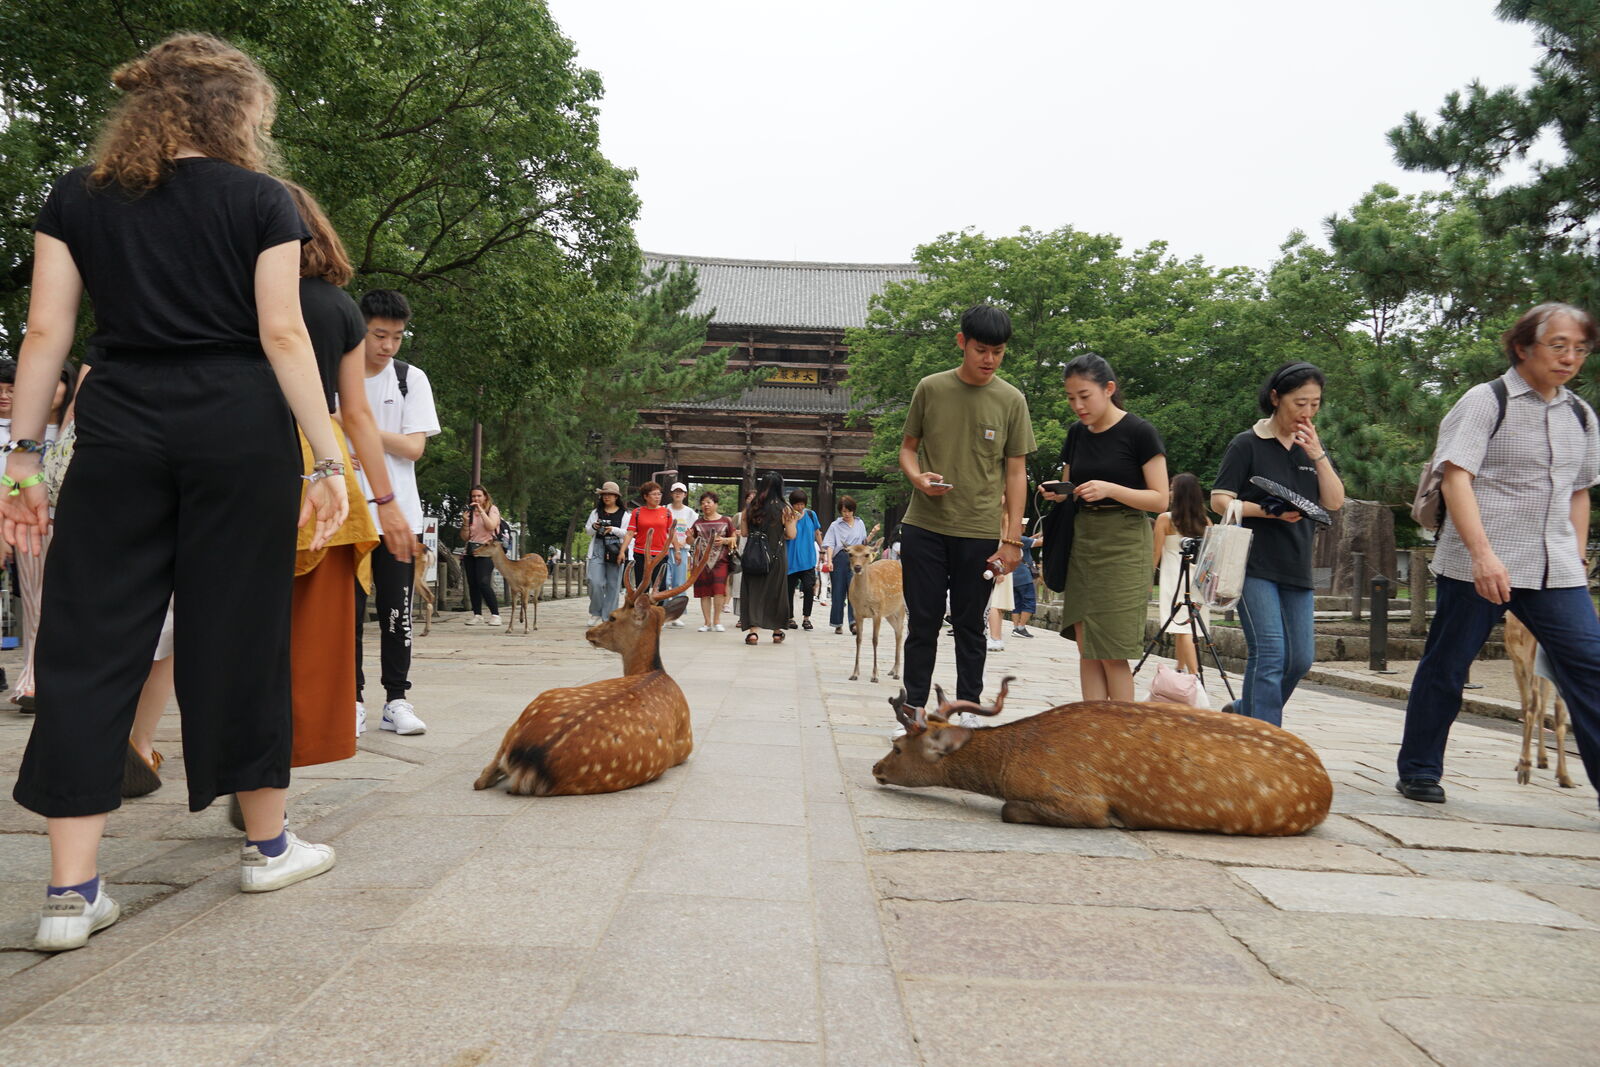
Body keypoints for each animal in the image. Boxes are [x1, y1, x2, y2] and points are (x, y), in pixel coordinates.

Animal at [473, 544, 709, 796]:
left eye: (613, 617)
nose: (590, 633)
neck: (655, 671)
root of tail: (530, 758)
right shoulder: (686, 743)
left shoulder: (687, 743)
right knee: (482, 779)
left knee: (483, 778)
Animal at [844, 541, 904, 684]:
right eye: (850, 553)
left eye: (867, 554)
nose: (857, 567)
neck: (863, 598)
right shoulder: (857, 612)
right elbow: (858, 639)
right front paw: (854, 674)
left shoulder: (877, 613)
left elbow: (875, 640)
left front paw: (875, 675)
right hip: (888, 613)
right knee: (897, 631)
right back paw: (892, 670)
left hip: (901, 607)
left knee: (900, 632)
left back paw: (897, 673)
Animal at [872, 677, 1332, 836]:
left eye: (897, 747)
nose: (876, 768)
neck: (1010, 764)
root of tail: (1325, 784)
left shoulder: (1079, 798)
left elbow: (1009, 810)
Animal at [1505, 614, 1575, 788]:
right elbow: (1547, 709)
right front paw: (1543, 759)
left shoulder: (1518, 663)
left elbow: (1529, 707)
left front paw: (1537, 760)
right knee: (1555, 710)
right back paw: (1564, 776)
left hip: (1528, 660)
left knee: (1532, 706)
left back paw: (1524, 768)